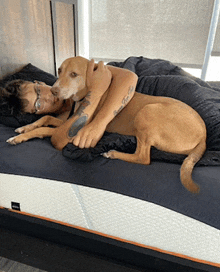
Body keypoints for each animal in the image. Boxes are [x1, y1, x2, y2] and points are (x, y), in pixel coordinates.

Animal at [6, 56, 206, 193]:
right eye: (59, 70)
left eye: (74, 74)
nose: (54, 90)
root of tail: (204, 136)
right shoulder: (65, 121)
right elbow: (45, 119)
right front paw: (24, 128)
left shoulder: (69, 129)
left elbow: (45, 127)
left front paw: (21, 136)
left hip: (147, 111)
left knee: (143, 158)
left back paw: (113, 153)